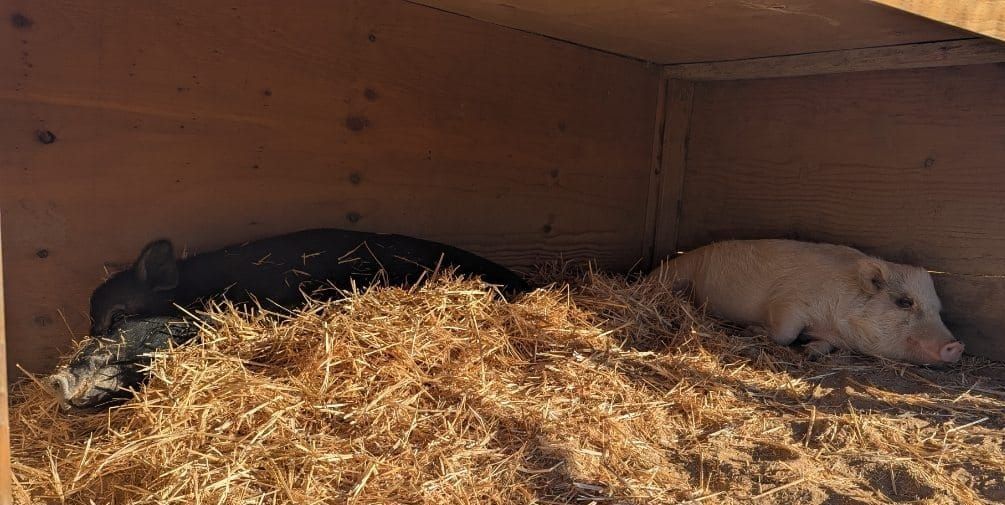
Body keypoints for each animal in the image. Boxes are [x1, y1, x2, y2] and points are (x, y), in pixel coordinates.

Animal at [649, 239, 964, 365]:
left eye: (938, 310)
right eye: (905, 302)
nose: (957, 345)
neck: (837, 322)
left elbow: (822, 345)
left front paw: (811, 351)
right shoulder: (788, 302)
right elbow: (784, 334)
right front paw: (754, 330)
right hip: (677, 272)